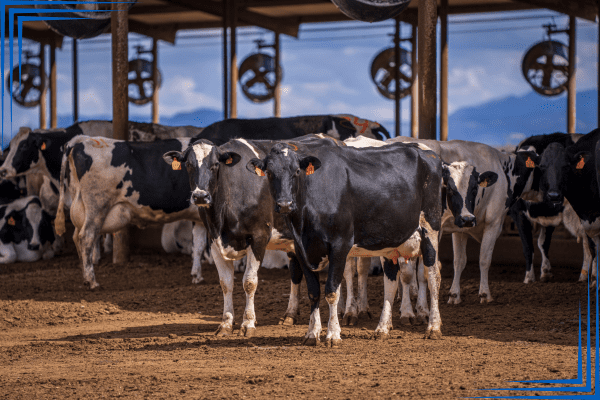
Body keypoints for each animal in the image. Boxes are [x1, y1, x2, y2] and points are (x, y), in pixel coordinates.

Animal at [55, 136, 206, 290]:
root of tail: (81, 141)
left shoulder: (200, 218)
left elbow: (198, 246)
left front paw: (197, 276)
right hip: (97, 206)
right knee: (86, 237)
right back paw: (91, 281)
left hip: (81, 209)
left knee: (76, 237)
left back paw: (84, 275)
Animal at [244, 139, 446, 346]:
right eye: (269, 172)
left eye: (297, 171)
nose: (285, 204)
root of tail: (425, 151)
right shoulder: (301, 250)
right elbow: (314, 292)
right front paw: (312, 333)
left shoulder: (339, 246)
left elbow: (332, 291)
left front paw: (333, 334)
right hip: (390, 241)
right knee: (390, 281)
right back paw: (382, 329)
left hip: (430, 228)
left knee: (433, 276)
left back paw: (433, 327)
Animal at [390, 138, 540, 304]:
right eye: (449, 189)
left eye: (475, 189)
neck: (504, 169)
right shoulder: (493, 222)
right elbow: (484, 259)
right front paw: (485, 294)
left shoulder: (461, 227)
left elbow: (459, 261)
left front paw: (454, 295)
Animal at [510, 133, 592, 282]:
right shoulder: (547, 216)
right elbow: (543, 243)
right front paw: (546, 272)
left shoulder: (518, 214)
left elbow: (528, 246)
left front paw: (529, 278)